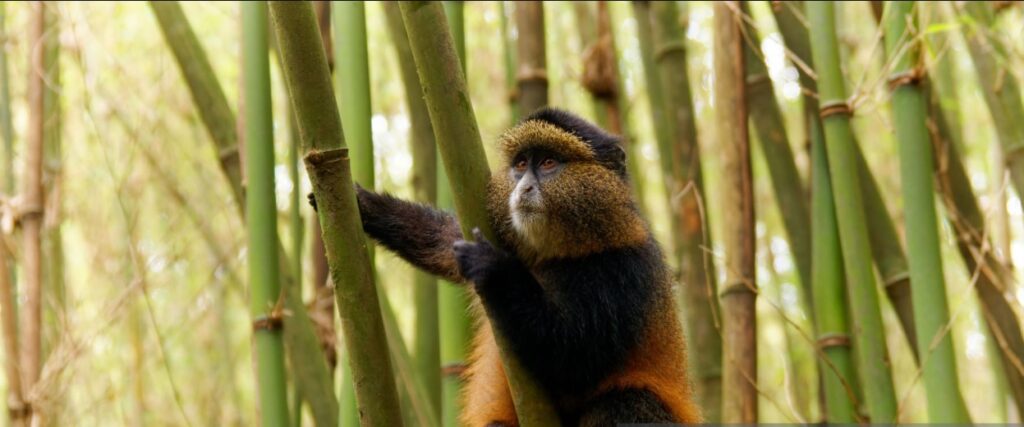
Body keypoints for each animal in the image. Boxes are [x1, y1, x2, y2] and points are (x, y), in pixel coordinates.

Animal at [325, 108, 701, 425]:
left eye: (549, 162)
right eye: (521, 165)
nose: (524, 187)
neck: (553, 252)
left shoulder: (623, 269)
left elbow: (573, 357)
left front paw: (493, 268)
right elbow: (444, 240)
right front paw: (361, 202)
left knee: (626, 401)